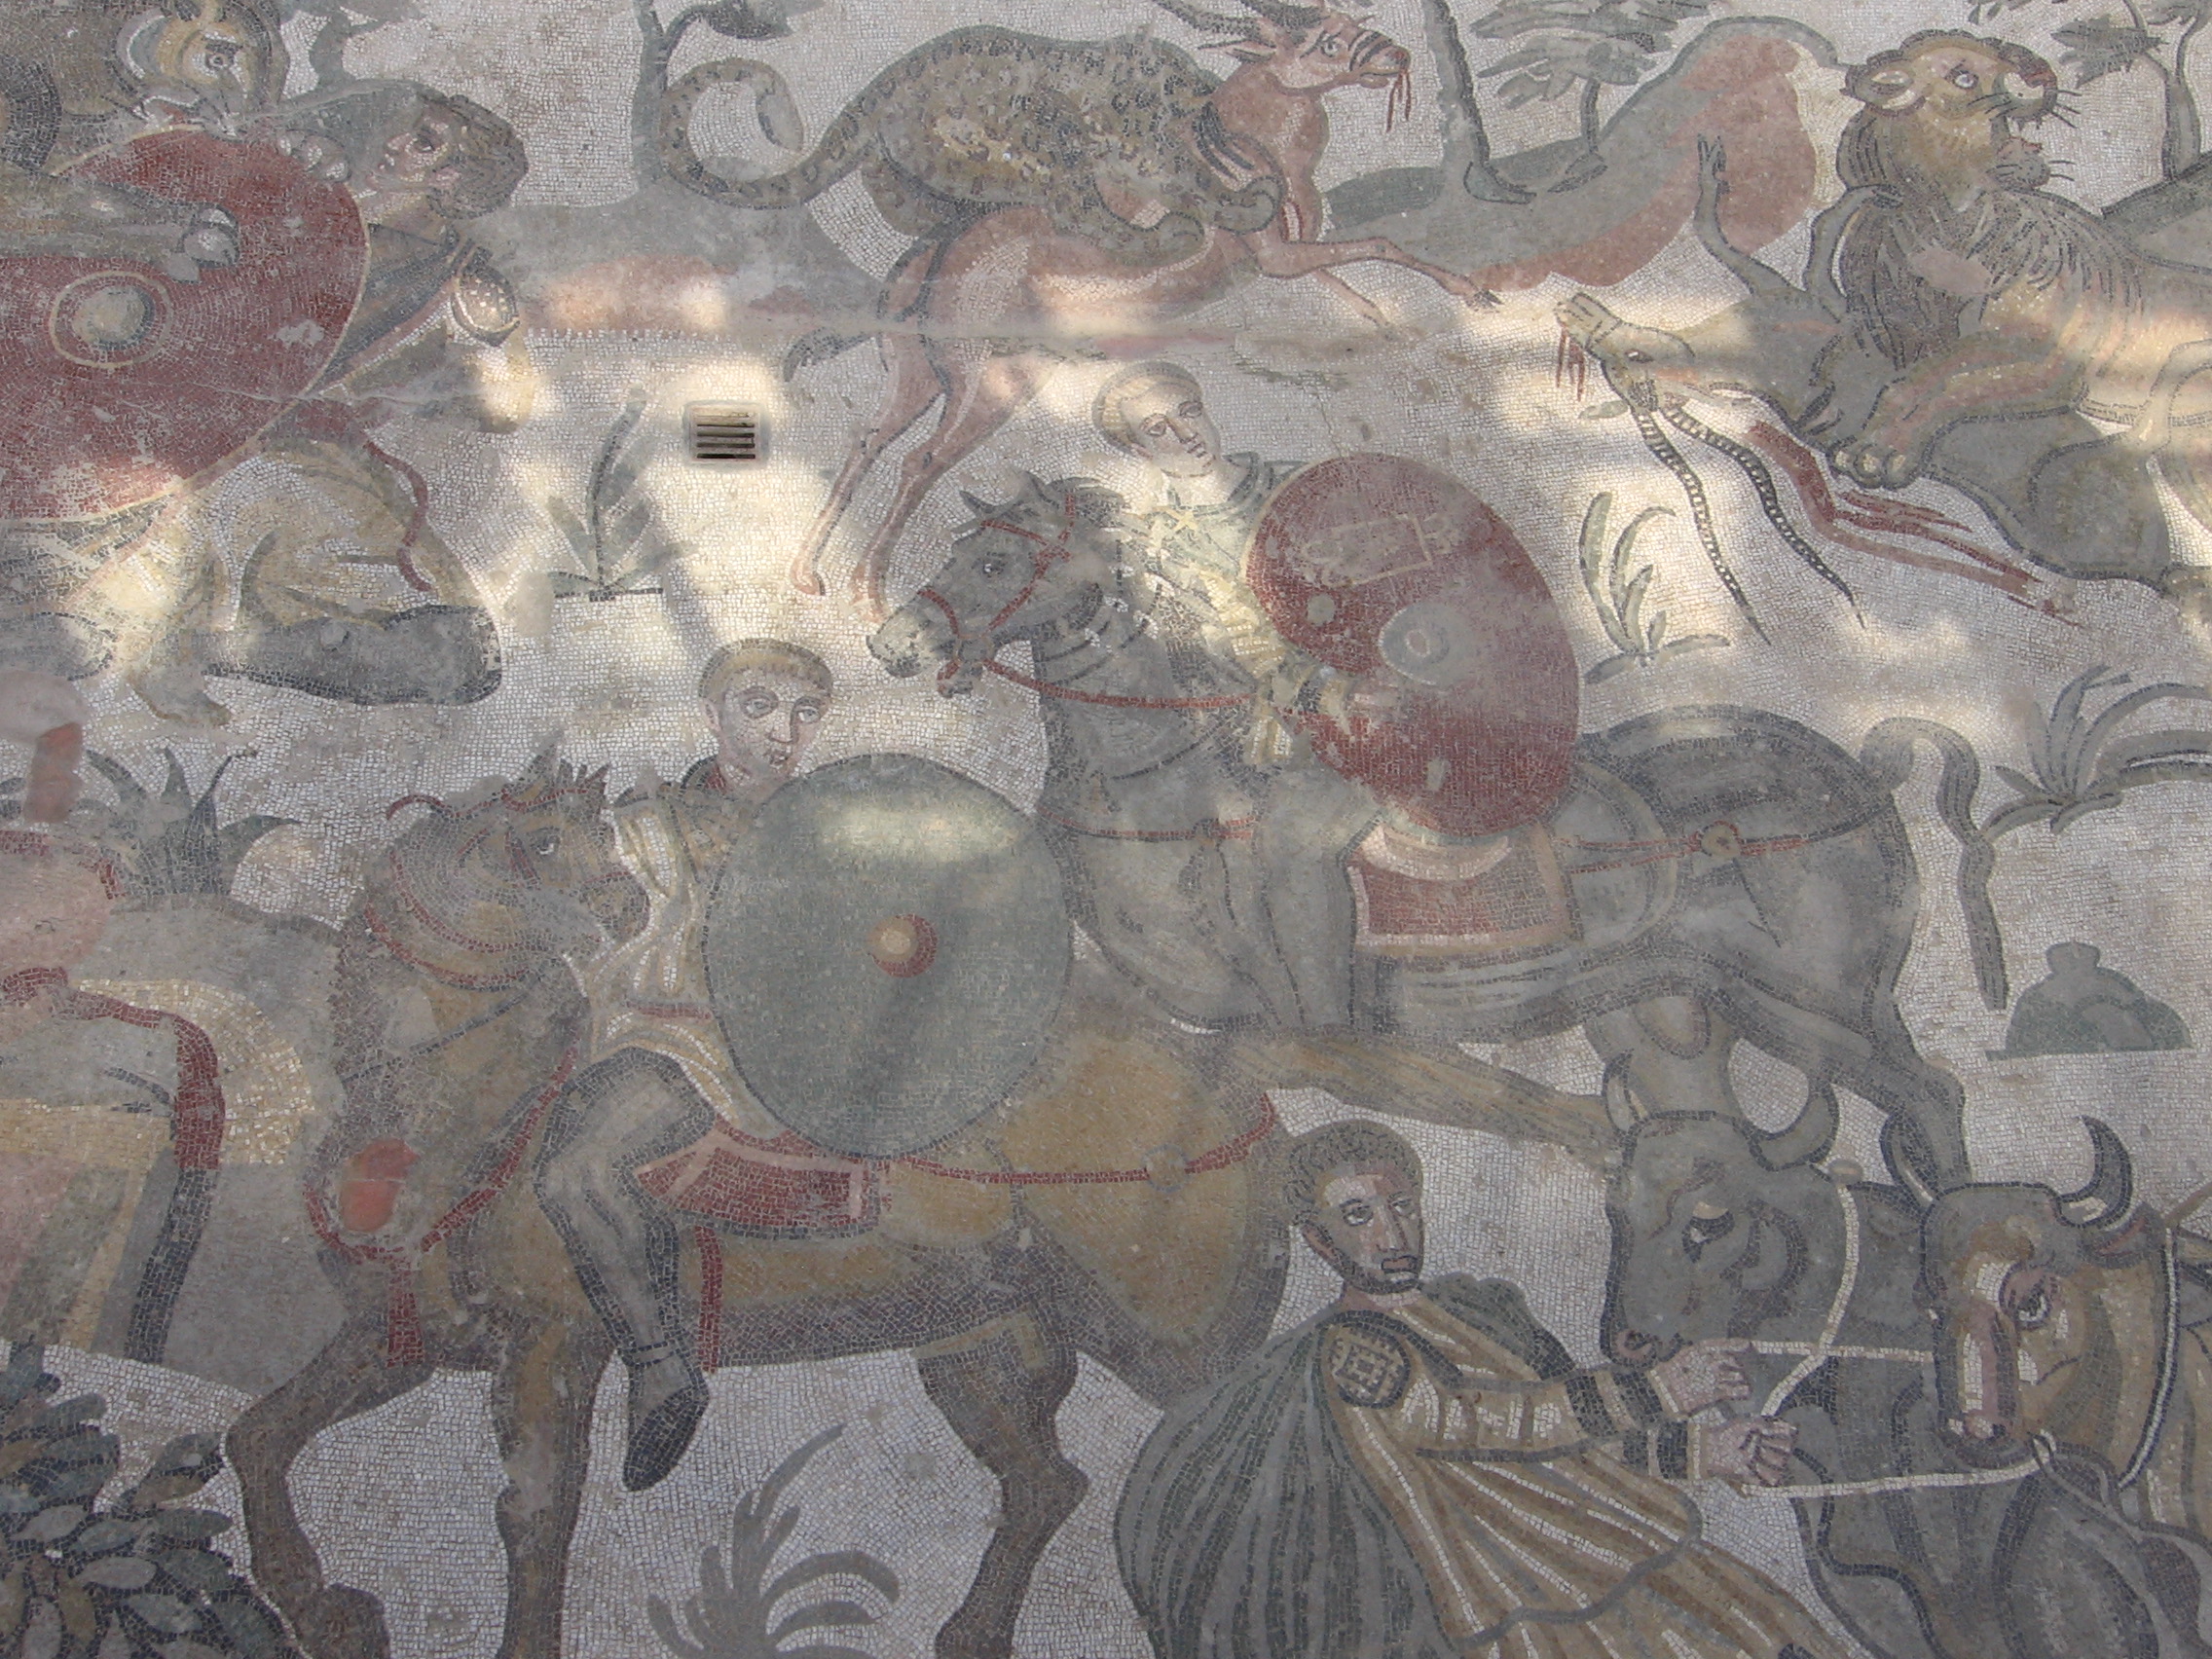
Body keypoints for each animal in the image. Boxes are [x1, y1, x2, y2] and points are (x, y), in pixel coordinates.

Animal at [226, 751, 1294, 1659]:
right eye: (540, 843)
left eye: (578, 839)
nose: (621, 908)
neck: (465, 1101)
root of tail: (1237, 1094)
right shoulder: (397, 1344)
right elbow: (258, 1438)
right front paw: (323, 1611)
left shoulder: (551, 1344)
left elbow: (533, 1514)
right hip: (977, 1342)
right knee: (1047, 1484)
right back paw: (974, 1632)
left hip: (1172, 1346)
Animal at [869, 474, 2005, 1193]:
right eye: (962, 550)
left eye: (997, 561)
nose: (893, 643)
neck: (1168, 784)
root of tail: (1858, 773)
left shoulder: (1287, 1027)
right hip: (1673, 1015)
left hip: (1810, 1005)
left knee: (1933, 1095)